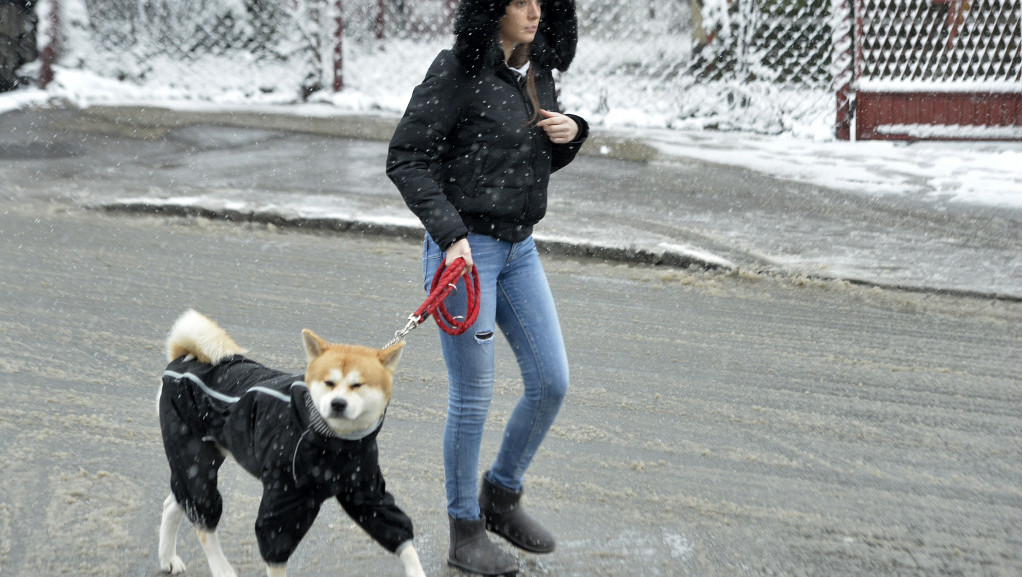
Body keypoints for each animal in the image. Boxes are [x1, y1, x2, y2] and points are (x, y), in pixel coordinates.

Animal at [152, 310, 423, 575]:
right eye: (329, 383)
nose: (337, 403)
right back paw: (222, 569)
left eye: (357, 385)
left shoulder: (365, 492)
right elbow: (275, 547)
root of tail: (183, 359)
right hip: (195, 460)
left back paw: (167, 558)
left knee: (175, 503)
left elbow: (398, 533)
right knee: (202, 519)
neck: (336, 443)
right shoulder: (284, 501)